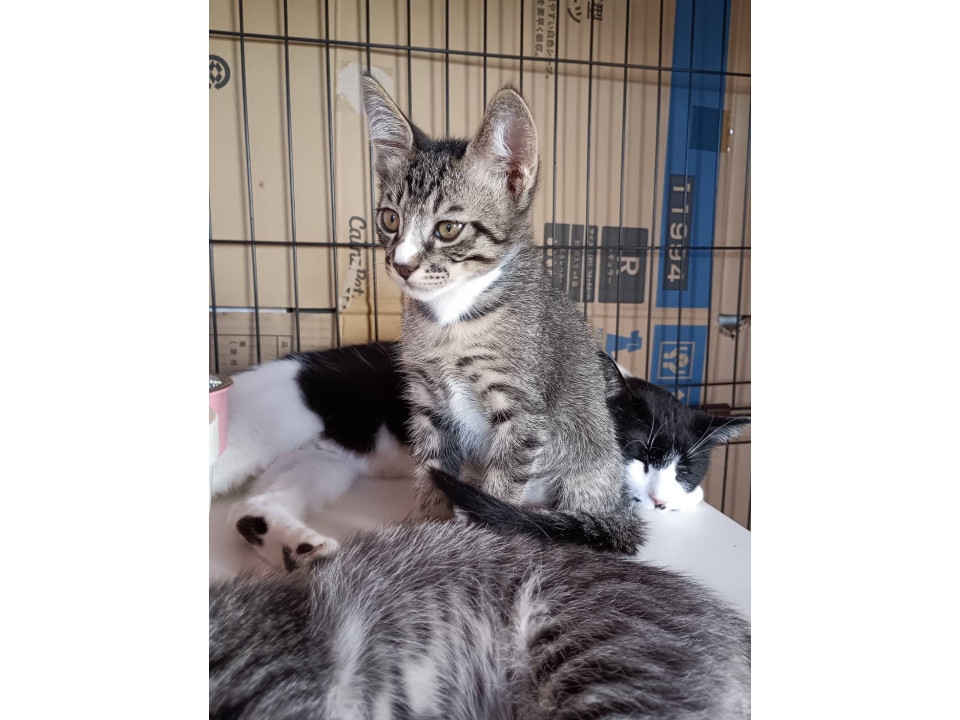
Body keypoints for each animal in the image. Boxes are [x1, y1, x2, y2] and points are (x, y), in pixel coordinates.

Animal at [212, 342, 749, 570]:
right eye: (637, 452)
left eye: (684, 467)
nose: (658, 499)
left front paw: (686, 496)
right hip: (258, 429)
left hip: (323, 460)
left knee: (250, 507)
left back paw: (293, 545)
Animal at [361, 75, 644, 554]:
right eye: (389, 219)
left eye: (448, 228)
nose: (401, 265)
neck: (451, 320)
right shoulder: (428, 402)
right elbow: (432, 469)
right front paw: (429, 528)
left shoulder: (523, 412)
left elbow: (501, 486)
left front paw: (480, 541)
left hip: (589, 461)